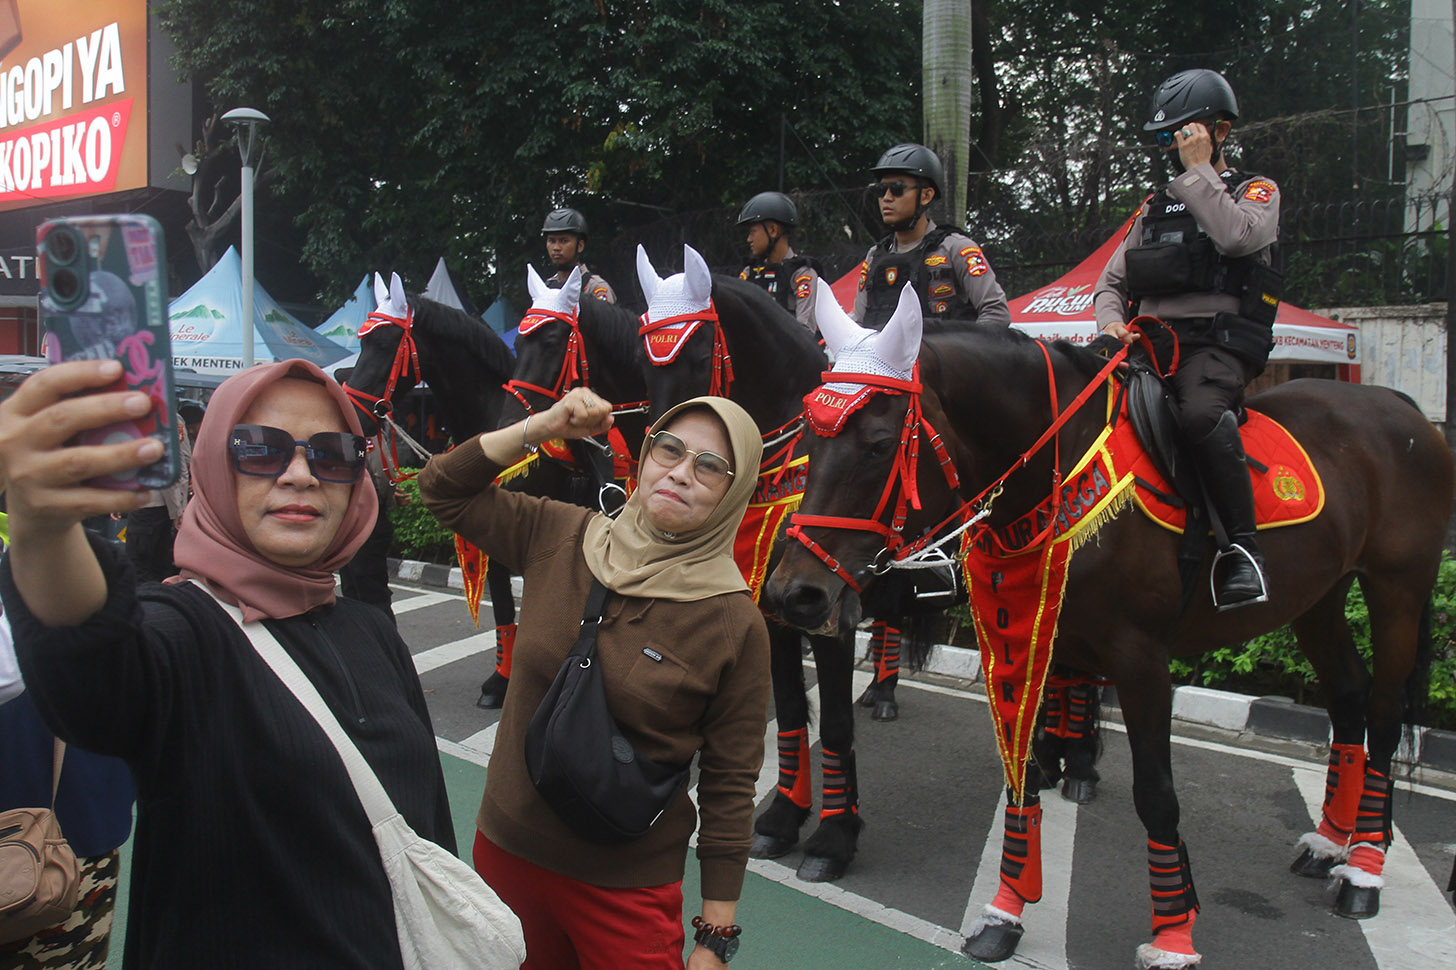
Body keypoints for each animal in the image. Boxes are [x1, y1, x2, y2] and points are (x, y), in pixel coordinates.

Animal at [762, 288, 1456, 967]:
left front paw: (1173, 936)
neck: (1053, 473)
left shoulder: (1141, 659)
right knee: (1348, 696)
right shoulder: (1023, 632)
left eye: (880, 445)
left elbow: (1155, 793)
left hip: (1398, 589)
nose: (795, 593)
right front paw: (1004, 913)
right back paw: (1330, 841)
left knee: (1385, 716)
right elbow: (1021, 772)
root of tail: (1399, 406)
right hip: (1317, 597)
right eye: (810, 441)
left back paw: (1363, 869)